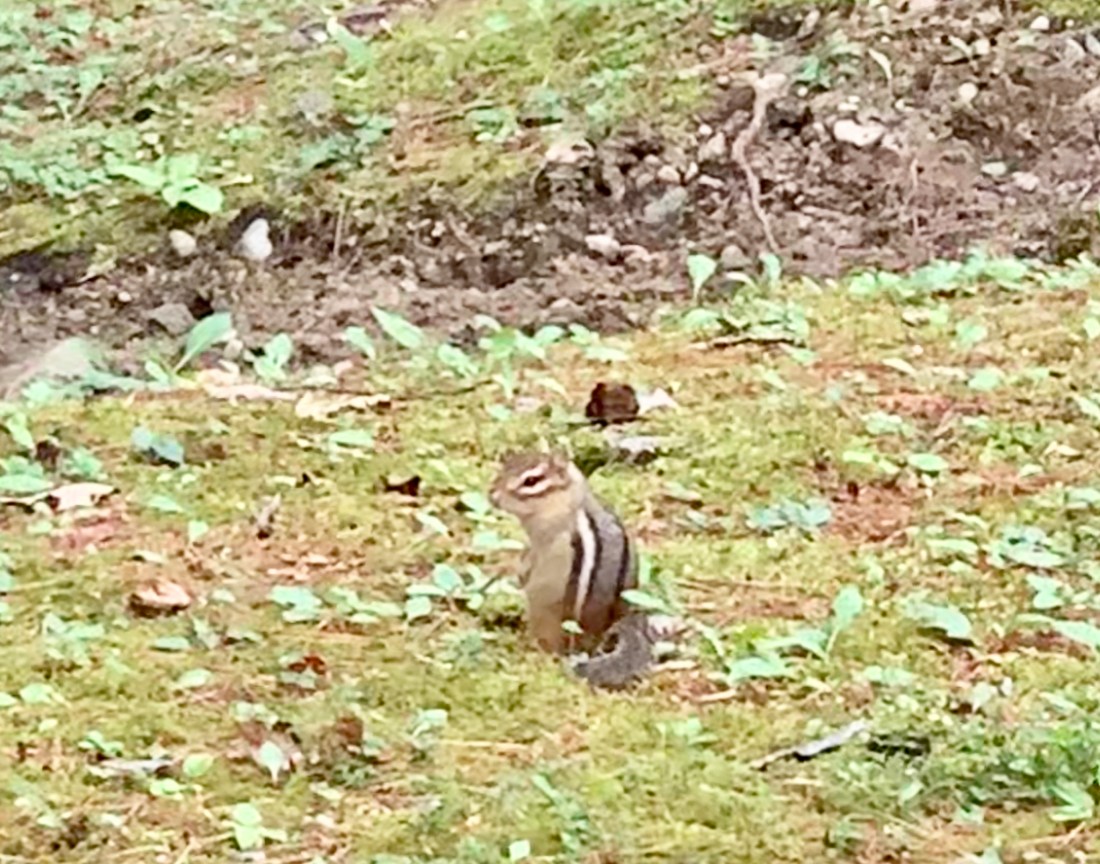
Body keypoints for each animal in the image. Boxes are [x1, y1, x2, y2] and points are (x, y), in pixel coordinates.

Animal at [488, 450, 658, 689]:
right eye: (508, 463)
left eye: (531, 481)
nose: (492, 495)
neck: (569, 497)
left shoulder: (545, 535)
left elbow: (532, 557)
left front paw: (521, 570)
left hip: (542, 610)